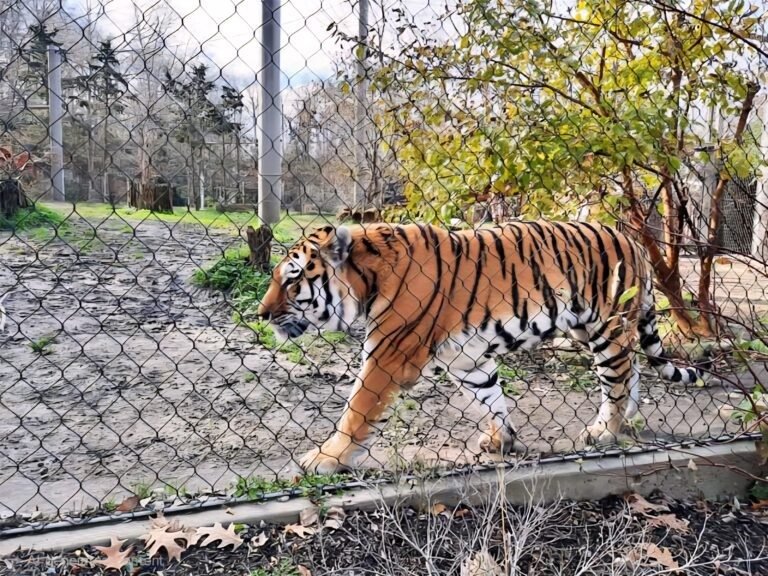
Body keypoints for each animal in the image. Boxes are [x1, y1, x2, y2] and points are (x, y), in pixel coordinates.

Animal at [257, 221, 706, 474]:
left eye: (292, 279)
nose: (260, 314)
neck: (366, 282)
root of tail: (633, 239)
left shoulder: (387, 354)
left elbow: (355, 410)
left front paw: (325, 459)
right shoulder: (466, 359)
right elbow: (491, 398)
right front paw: (501, 440)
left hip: (607, 327)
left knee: (616, 379)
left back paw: (605, 430)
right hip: (590, 329)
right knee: (630, 373)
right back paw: (625, 419)